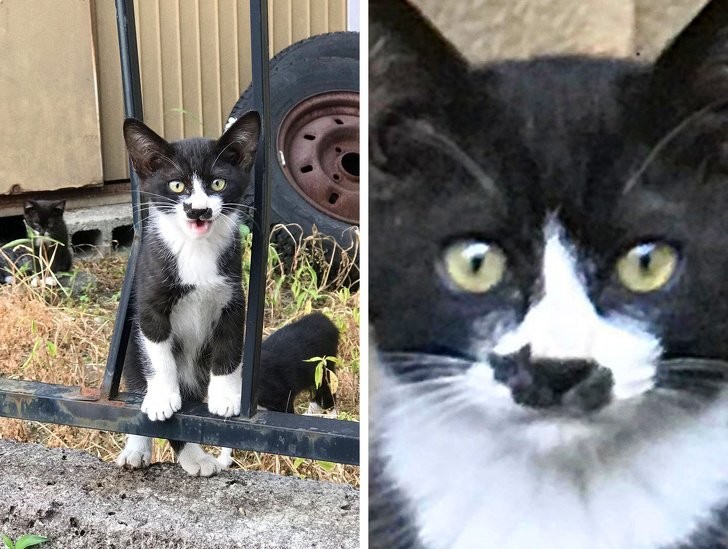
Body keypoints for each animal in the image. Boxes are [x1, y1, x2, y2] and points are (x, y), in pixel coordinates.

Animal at [115, 111, 260, 476]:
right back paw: (151, 450)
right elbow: (158, 353)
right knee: (137, 379)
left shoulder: (232, 298)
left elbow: (228, 349)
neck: (195, 250)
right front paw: (163, 397)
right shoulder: (149, 300)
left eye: (218, 184)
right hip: (130, 354)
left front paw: (226, 396)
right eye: (177, 186)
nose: (199, 210)